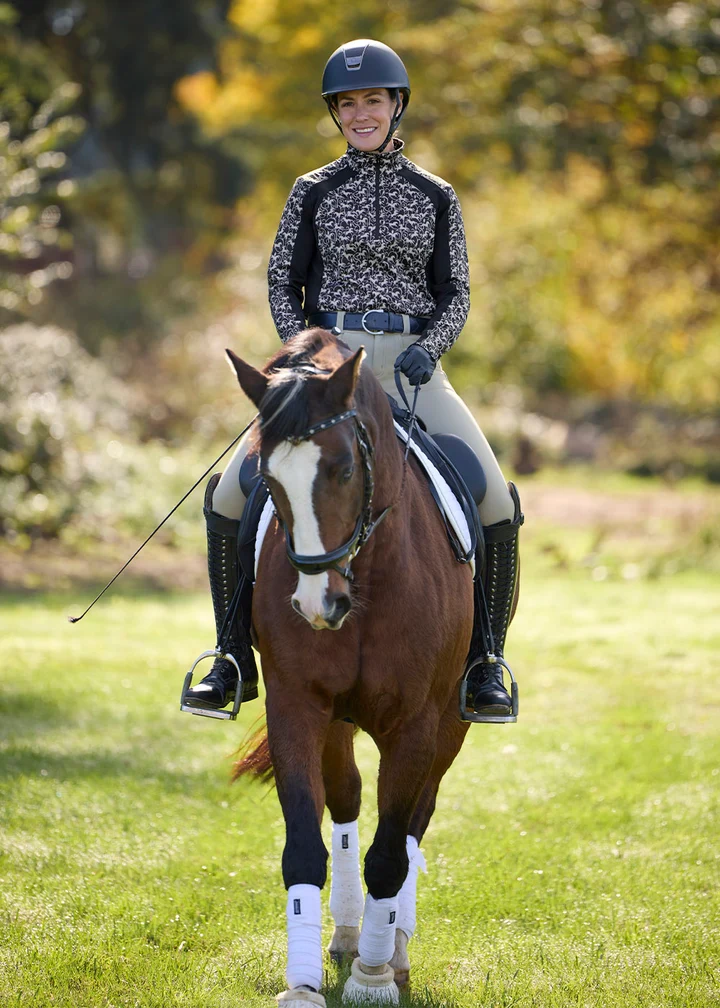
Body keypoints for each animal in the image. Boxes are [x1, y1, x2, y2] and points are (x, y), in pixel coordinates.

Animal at [228, 328, 474, 1006]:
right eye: (267, 477)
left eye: (342, 469)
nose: (319, 604)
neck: (365, 575)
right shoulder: (297, 705)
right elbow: (304, 848)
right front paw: (305, 984)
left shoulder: (417, 724)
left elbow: (391, 853)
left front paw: (372, 979)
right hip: (338, 722)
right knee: (346, 798)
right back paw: (346, 933)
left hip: (453, 723)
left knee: (415, 821)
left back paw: (392, 948)